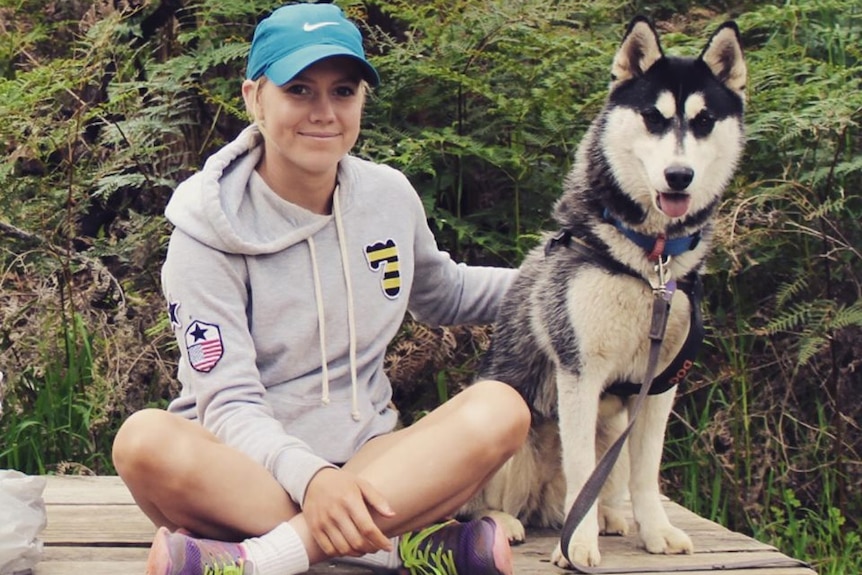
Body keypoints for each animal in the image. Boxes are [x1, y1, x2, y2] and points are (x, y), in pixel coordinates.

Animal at [460, 15, 748, 568]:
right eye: (654, 118)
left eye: (703, 121)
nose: (679, 175)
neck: (647, 263)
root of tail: (539, 505)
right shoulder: (580, 373)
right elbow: (580, 469)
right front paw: (578, 545)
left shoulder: (660, 385)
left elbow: (646, 473)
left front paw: (654, 532)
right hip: (501, 412)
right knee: (483, 504)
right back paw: (508, 521)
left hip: (613, 430)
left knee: (602, 484)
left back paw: (611, 517)